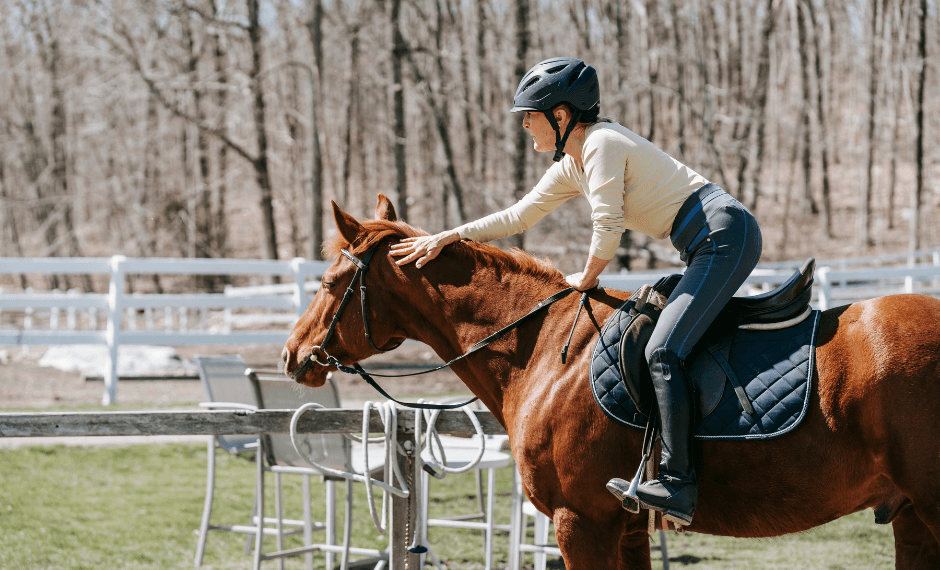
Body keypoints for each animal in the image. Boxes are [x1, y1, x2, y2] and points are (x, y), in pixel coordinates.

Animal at [282, 194, 940, 569]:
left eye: (331, 281)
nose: (293, 356)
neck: (546, 351)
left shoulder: (581, 523)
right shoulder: (624, 529)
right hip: (912, 518)